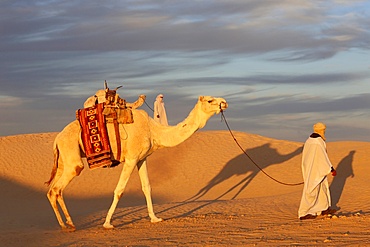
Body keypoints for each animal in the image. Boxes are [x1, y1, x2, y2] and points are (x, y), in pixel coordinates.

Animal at [44, 95, 227, 231]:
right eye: (210, 100)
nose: (224, 102)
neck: (154, 130)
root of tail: (57, 139)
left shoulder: (141, 158)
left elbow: (147, 187)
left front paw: (155, 218)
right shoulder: (131, 158)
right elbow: (119, 190)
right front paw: (107, 223)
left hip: (63, 159)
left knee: (52, 190)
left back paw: (66, 224)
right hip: (72, 156)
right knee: (57, 188)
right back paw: (68, 224)